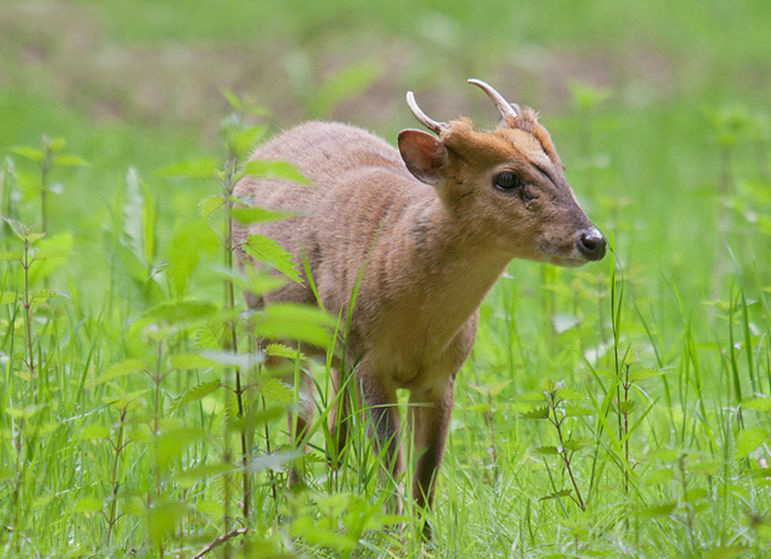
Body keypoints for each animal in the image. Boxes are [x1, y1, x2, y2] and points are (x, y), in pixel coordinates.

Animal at [232, 77, 608, 532]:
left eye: (559, 169)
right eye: (506, 179)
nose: (594, 241)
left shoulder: (442, 375)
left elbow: (426, 471)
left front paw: (423, 538)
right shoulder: (371, 362)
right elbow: (390, 461)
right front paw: (390, 534)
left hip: (337, 354)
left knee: (334, 430)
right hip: (265, 323)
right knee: (287, 418)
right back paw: (281, 511)